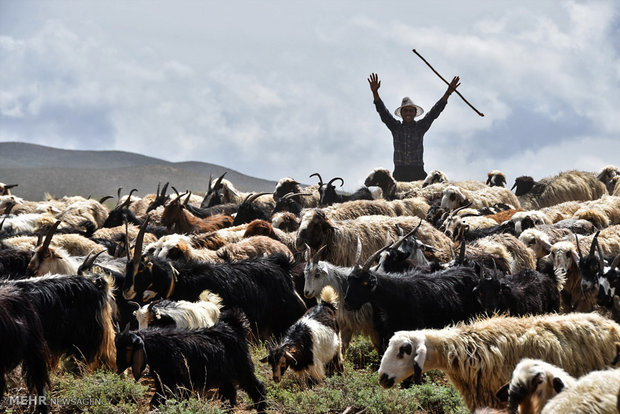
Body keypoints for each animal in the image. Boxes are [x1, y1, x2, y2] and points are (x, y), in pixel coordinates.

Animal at [116, 308, 266, 410]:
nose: (118, 368)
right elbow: (156, 402)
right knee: (229, 394)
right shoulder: (163, 381)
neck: (160, 346)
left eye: (128, 348)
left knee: (256, 387)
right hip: (225, 374)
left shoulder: (183, 383)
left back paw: (262, 408)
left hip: (244, 367)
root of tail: (234, 326)